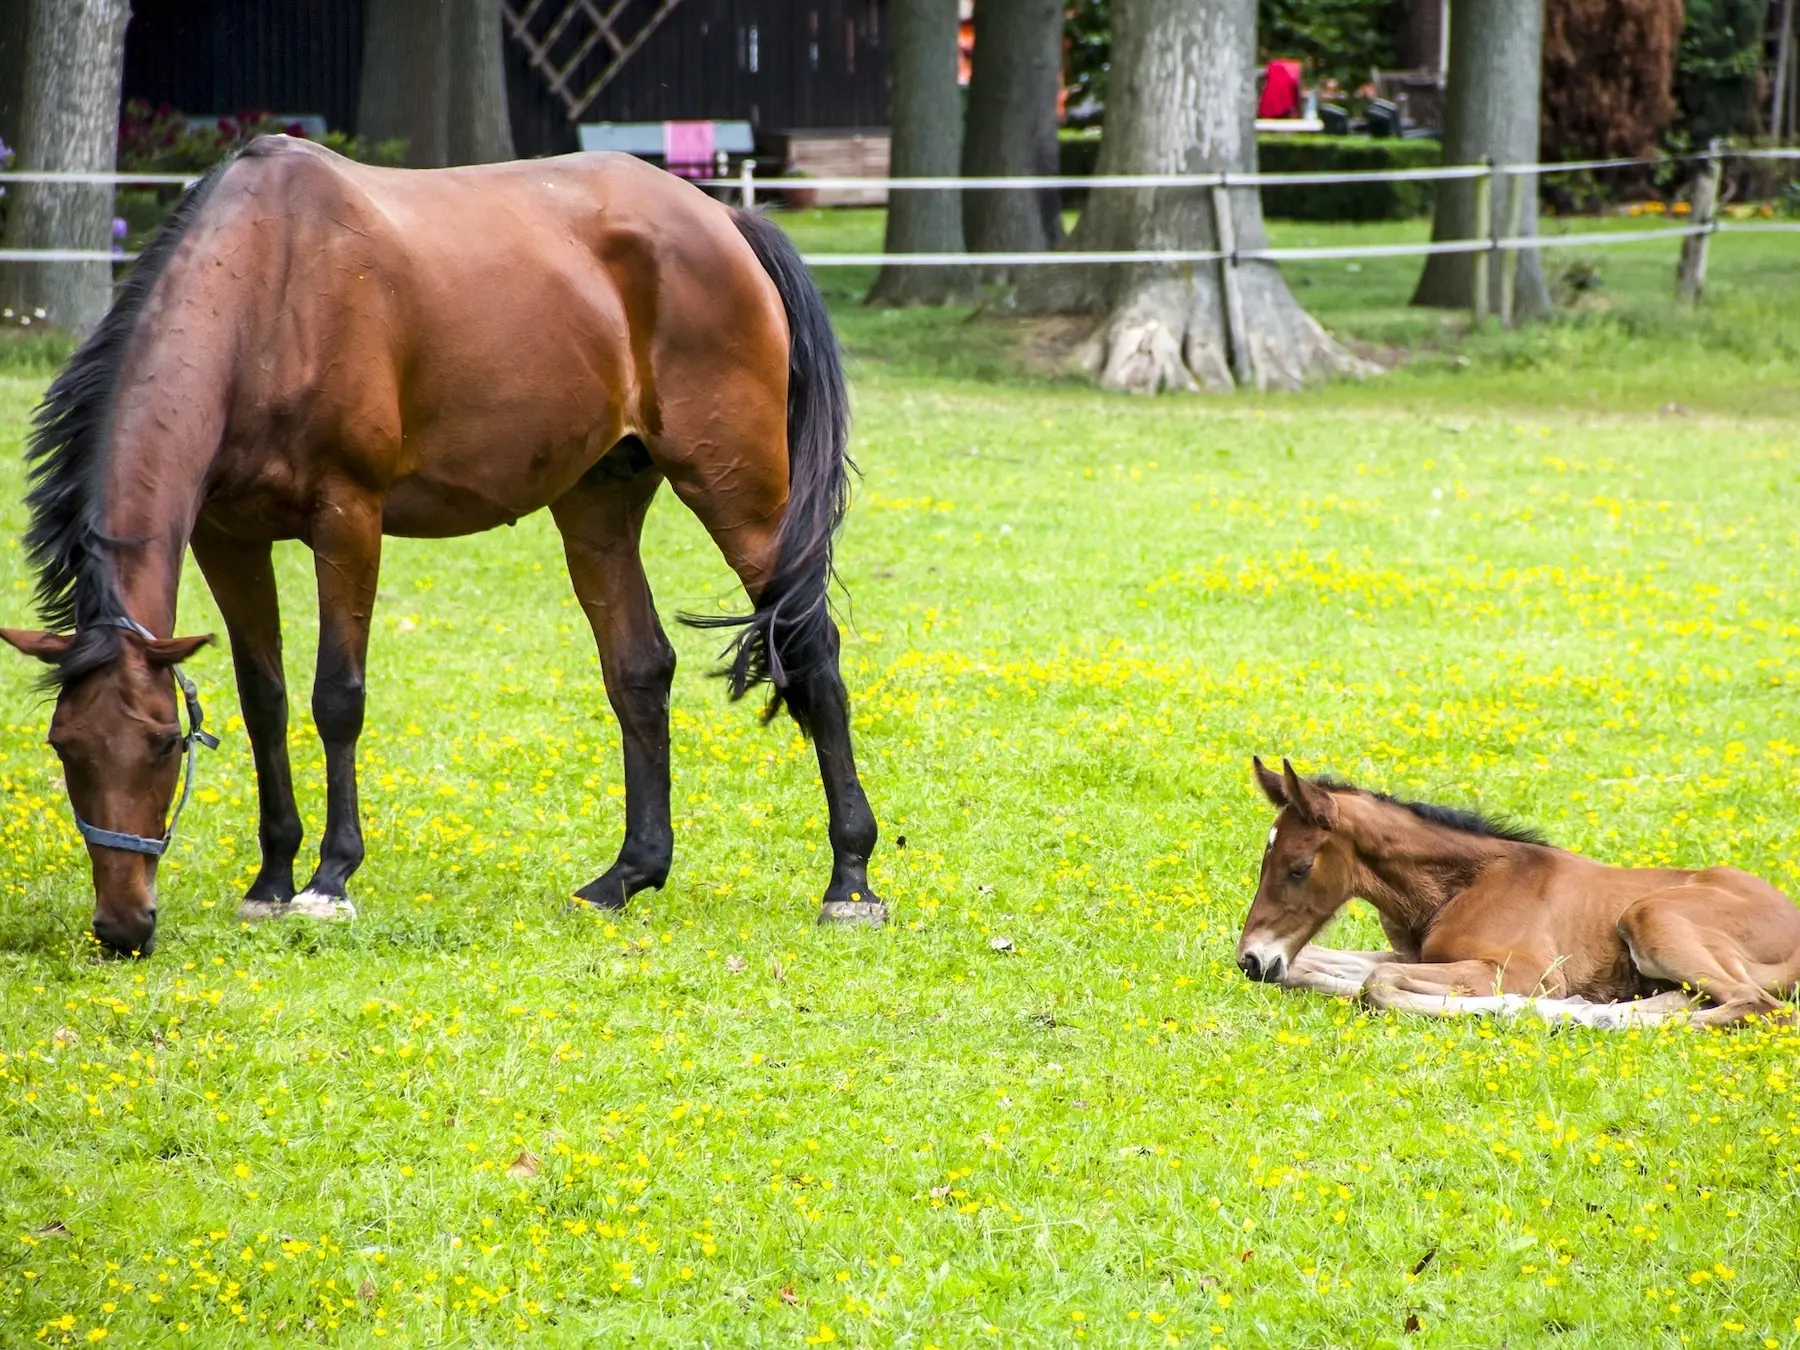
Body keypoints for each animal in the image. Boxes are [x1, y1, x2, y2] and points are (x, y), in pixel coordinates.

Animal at [0, 137, 885, 957]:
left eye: (161, 746)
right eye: (64, 747)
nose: (121, 928)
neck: (267, 288)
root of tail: (725, 222)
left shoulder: (347, 517)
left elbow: (336, 697)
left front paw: (328, 879)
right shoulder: (229, 537)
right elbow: (265, 702)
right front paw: (271, 878)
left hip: (738, 491)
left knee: (813, 650)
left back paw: (850, 882)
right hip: (597, 503)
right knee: (639, 671)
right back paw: (626, 876)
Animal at [1238, 756, 1800, 1029]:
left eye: (1299, 867)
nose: (1251, 960)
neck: (1466, 884)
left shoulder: (1516, 970)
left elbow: (1375, 985)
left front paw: (1503, 1007)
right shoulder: (1418, 955)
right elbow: (1320, 966)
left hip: (1650, 916)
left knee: (1756, 1005)